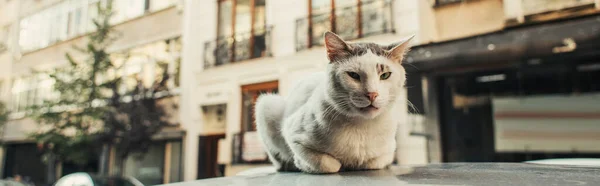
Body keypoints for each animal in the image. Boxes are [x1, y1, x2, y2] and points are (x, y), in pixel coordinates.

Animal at [253, 31, 412, 174]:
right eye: (353, 75)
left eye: (385, 75)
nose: (372, 94)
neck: (361, 126)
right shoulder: (292, 134)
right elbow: (328, 164)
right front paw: (302, 164)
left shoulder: (388, 151)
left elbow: (373, 162)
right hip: (267, 104)